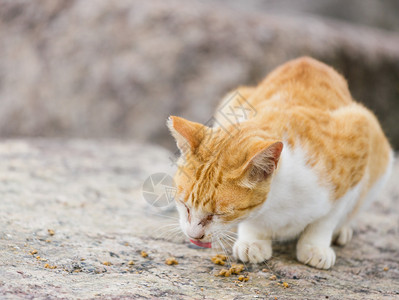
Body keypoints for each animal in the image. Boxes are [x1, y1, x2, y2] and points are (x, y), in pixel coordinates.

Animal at [166, 56, 394, 270]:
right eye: (184, 206)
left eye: (220, 214)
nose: (194, 235)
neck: (278, 202)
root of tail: (308, 59)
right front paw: (253, 240)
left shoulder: (358, 140)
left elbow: (326, 219)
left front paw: (315, 246)